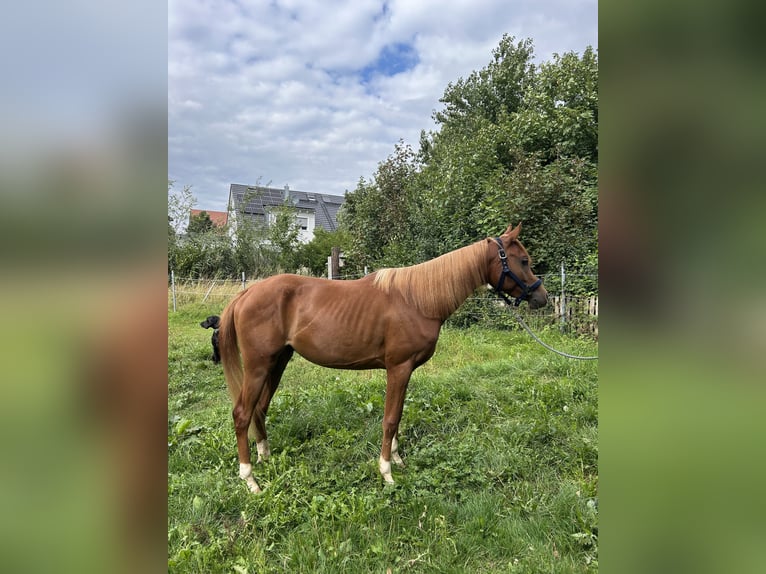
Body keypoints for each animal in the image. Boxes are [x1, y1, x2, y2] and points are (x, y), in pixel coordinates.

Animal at [218, 223, 547, 493]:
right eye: (523, 261)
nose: (541, 297)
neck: (417, 300)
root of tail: (246, 295)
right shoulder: (398, 369)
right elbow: (389, 420)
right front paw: (386, 471)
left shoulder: (406, 371)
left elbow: (398, 416)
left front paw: (398, 460)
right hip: (258, 366)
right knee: (242, 414)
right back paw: (250, 479)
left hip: (277, 362)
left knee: (260, 409)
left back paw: (265, 457)